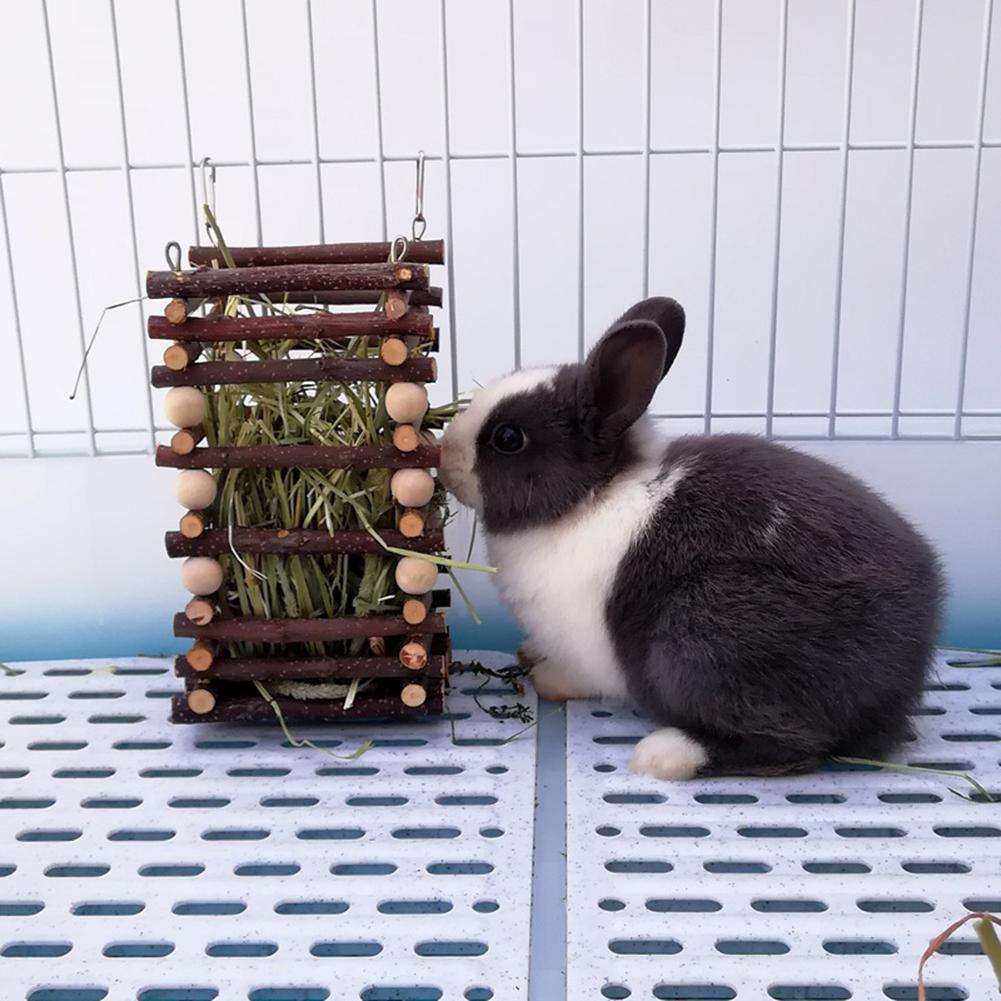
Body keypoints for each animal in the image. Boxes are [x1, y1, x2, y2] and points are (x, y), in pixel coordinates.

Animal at [439, 297, 944, 779]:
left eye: (508, 438)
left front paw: (547, 678)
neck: (588, 498)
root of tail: (903, 678)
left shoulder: (586, 648)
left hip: (704, 636)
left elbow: (580, 676)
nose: (443, 455)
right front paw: (529, 654)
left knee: (789, 747)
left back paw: (664, 756)